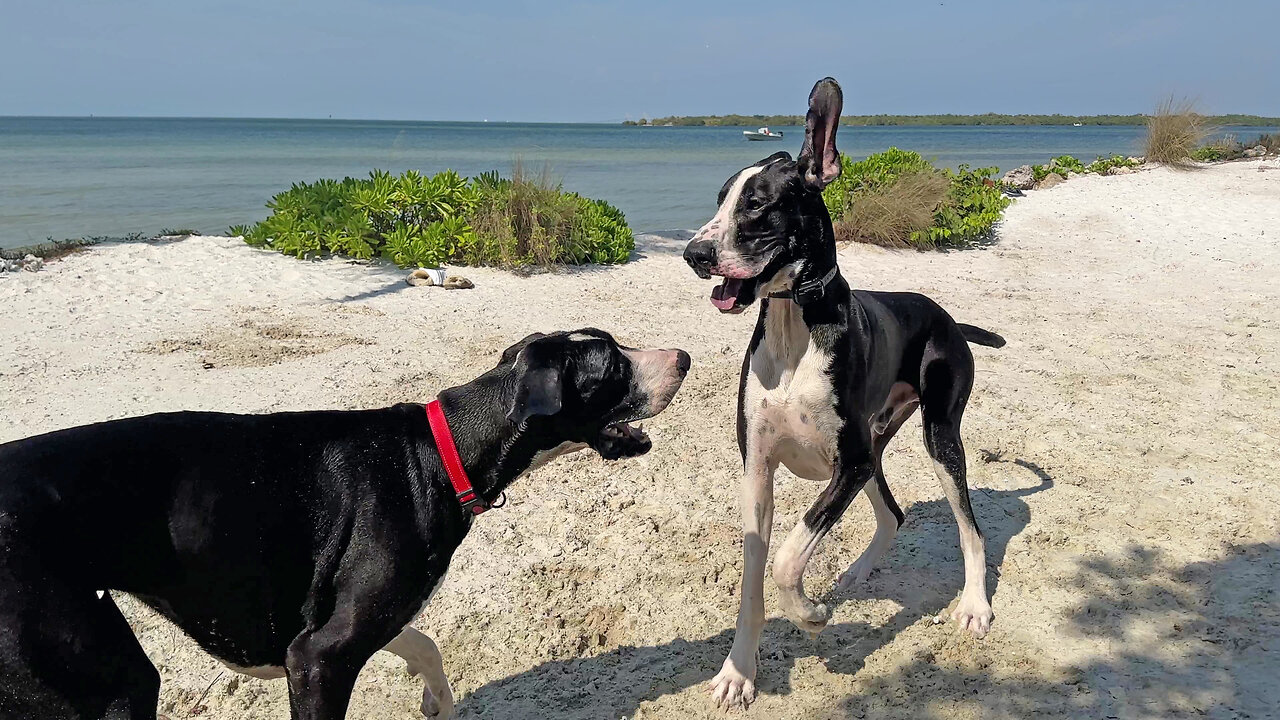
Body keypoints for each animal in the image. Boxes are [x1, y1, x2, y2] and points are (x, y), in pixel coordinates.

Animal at [0, 330, 691, 717]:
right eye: (612, 366)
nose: (684, 356)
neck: (437, 451)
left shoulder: (350, 626)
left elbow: (424, 643)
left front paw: (436, 701)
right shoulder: (319, 658)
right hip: (112, 679)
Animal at [686, 78, 1003, 707]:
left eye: (757, 203)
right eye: (721, 199)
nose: (694, 255)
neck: (795, 328)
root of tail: (948, 319)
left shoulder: (847, 463)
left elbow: (787, 561)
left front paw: (810, 614)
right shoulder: (759, 471)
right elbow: (755, 577)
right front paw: (738, 671)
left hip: (936, 439)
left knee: (970, 527)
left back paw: (974, 606)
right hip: (876, 447)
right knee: (894, 514)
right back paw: (858, 571)